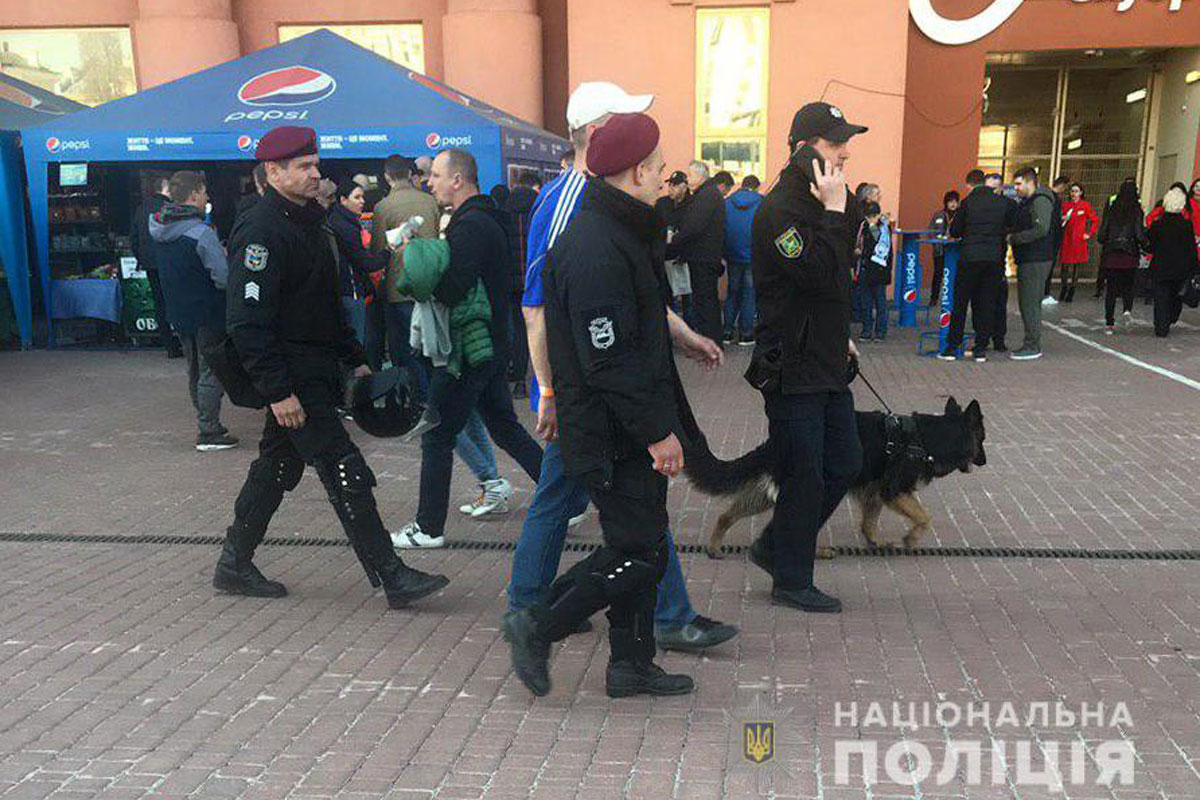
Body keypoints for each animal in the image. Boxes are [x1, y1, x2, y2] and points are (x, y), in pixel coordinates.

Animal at [686, 398, 984, 556]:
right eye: (982, 439)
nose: (984, 461)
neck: (927, 438)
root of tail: (776, 442)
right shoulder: (893, 491)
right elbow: (924, 516)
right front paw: (911, 539)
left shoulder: (875, 493)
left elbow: (869, 523)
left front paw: (875, 543)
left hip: (767, 495)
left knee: (727, 515)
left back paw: (714, 546)